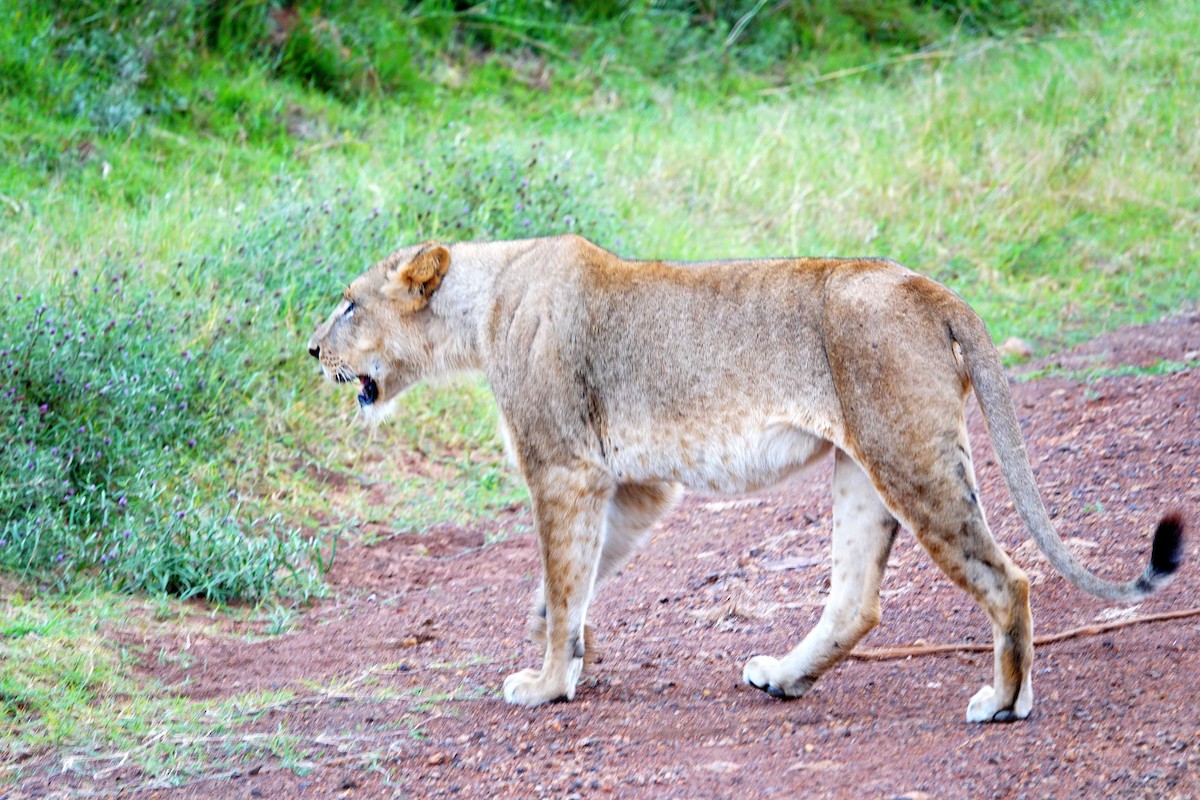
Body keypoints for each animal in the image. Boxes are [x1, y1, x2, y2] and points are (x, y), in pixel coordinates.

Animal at [307, 235, 1183, 723]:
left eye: (348, 304)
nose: (311, 350)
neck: (482, 306)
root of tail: (928, 286)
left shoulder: (564, 467)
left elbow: (560, 578)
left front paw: (549, 681)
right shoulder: (634, 486)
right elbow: (568, 585)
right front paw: (562, 650)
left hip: (909, 456)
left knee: (1009, 579)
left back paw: (1003, 702)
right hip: (862, 469)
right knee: (855, 601)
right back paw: (784, 678)